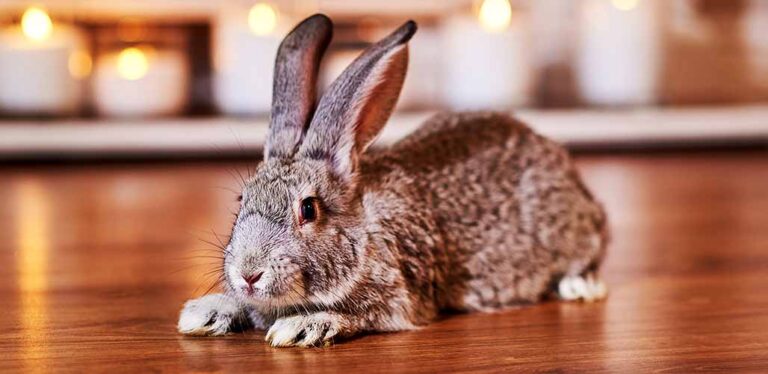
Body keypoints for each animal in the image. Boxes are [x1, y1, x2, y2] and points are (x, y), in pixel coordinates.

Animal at [178, 14, 608, 348]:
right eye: (240, 201)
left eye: (308, 209)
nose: (248, 274)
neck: (363, 232)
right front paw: (203, 312)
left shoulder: (398, 297)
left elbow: (360, 314)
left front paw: (302, 327)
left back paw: (580, 287)